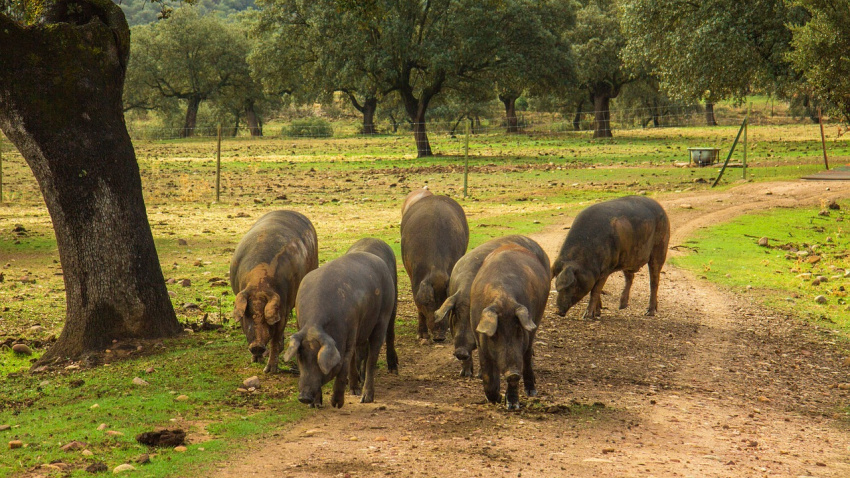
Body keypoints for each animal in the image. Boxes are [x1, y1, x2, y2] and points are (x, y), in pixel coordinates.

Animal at [230, 210, 318, 373]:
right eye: (248, 315)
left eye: (265, 317)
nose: (257, 346)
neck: (259, 285)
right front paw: (255, 360)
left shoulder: (282, 309)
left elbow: (275, 340)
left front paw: (269, 370)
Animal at [284, 250, 395, 408]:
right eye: (301, 357)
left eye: (318, 360)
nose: (304, 397)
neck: (314, 324)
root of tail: (378, 260)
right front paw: (316, 405)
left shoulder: (350, 330)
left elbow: (343, 366)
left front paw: (336, 404)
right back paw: (355, 391)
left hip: (384, 314)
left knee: (372, 357)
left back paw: (365, 398)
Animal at [469, 243, 550, 410]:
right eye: (495, 334)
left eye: (518, 329)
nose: (512, 372)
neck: (503, 298)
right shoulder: (479, 340)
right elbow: (488, 375)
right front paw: (496, 399)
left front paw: (512, 406)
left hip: (537, 319)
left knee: (527, 355)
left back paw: (531, 392)